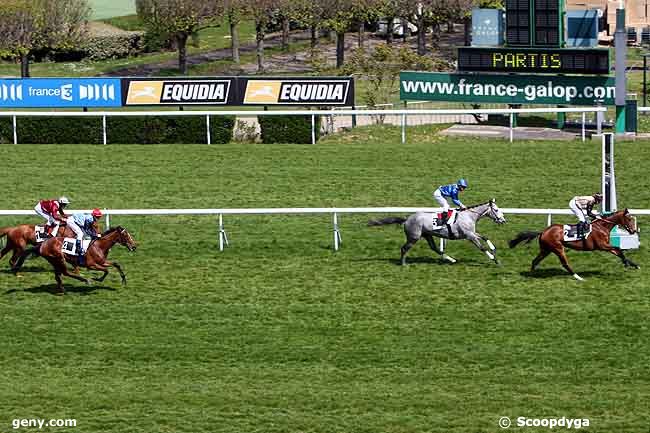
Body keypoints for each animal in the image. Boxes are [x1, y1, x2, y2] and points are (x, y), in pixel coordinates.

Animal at [370, 198, 506, 264]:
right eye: (496, 210)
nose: (503, 220)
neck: (469, 216)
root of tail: (407, 219)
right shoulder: (469, 236)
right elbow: (482, 247)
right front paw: (494, 259)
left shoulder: (472, 233)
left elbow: (486, 237)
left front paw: (494, 249)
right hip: (414, 237)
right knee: (404, 248)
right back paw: (403, 263)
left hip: (427, 235)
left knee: (434, 248)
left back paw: (451, 259)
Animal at [506, 208, 636, 282]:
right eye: (629, 219)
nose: (634, 231)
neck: (602, 226)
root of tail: (543, 232)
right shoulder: (602, 246)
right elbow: (618, 249)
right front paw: (626, 263)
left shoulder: (606, 246)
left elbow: (619, 251)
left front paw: (634, 265)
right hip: (558, 248)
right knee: (565, 264)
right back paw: (578, 277)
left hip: (546, 249)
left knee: (535, 261)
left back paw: (532, 274)